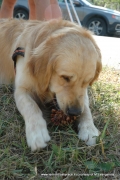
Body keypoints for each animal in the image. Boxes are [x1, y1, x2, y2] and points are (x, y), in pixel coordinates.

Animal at [0, 18, 101, 150]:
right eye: (65, 77)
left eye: (87, 81)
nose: (75, 112)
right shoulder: (21, 89)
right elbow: (31, 106)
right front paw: (37, 132)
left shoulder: (83, 95)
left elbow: (86, 107)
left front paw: (89, 128)